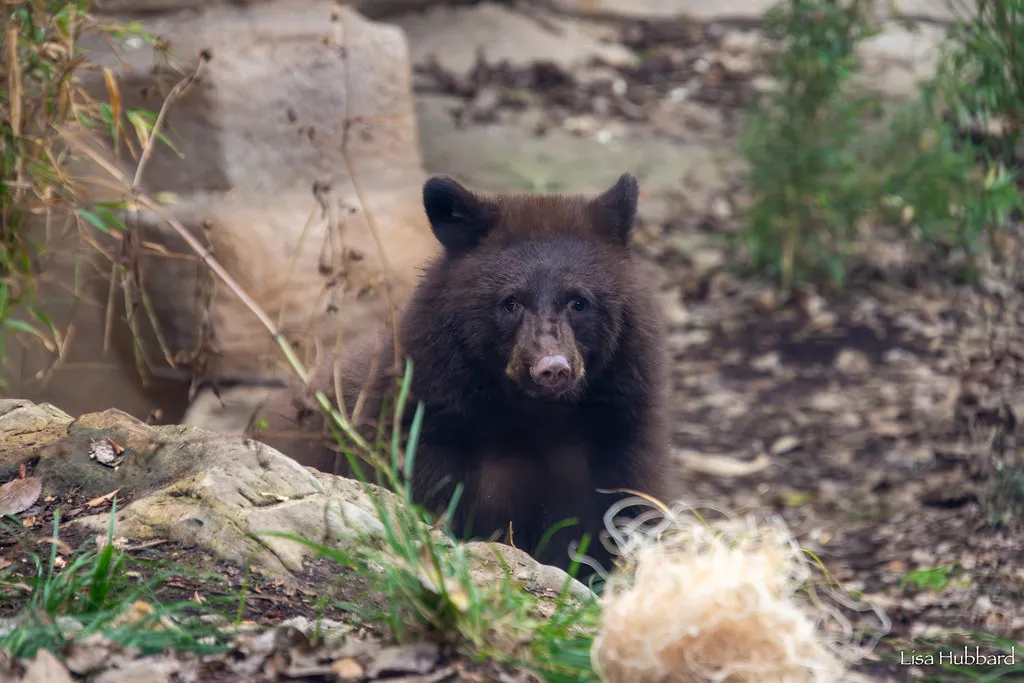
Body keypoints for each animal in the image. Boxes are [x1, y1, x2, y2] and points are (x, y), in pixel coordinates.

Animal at [254, 172, 672, 581]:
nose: (551, 367)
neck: (534, 418)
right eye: (510, 302)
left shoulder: (617, 442)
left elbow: (609, 523)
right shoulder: (421, 428)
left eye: (579, 302)